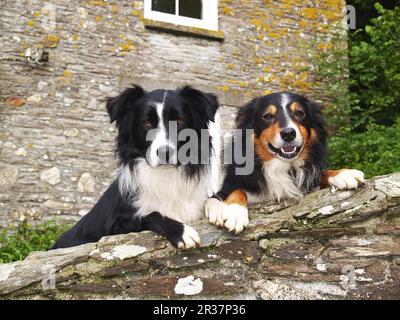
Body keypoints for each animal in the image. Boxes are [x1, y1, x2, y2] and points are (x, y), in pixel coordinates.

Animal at [52, 85, 220, 250]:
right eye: (147, 123)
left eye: (179, 121)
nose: (164, 153)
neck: (165, 175)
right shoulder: (116, 227)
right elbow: (150, 214)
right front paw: (182, 231)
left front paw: (221, 210)